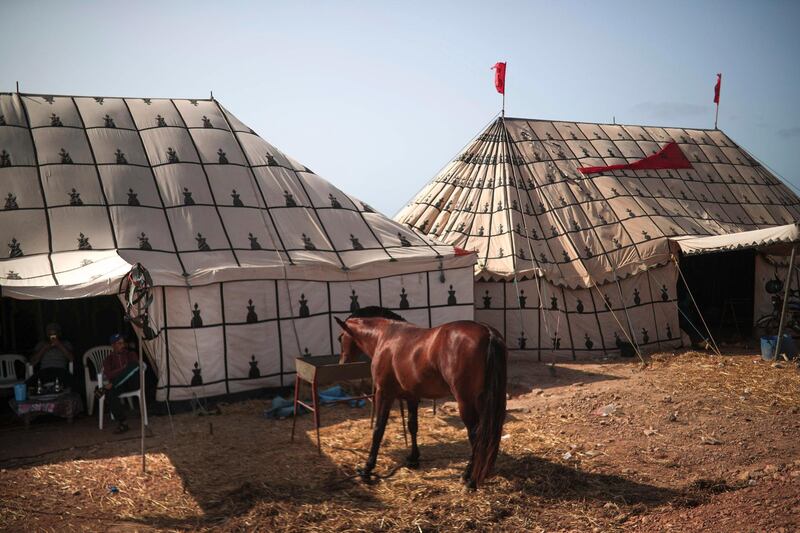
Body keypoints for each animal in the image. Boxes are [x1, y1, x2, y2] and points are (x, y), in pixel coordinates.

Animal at [336, 306, 510, 488]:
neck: (385, 336)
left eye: (340, 338)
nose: (342, 364)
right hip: (484, 399)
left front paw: (367, 470)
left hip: (466, 402)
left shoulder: (383, 394)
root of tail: (487, 332)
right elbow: (412, 426)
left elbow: (378, 430)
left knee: (476, 435)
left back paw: (469, 478)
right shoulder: (412, 396)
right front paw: (413, 459)